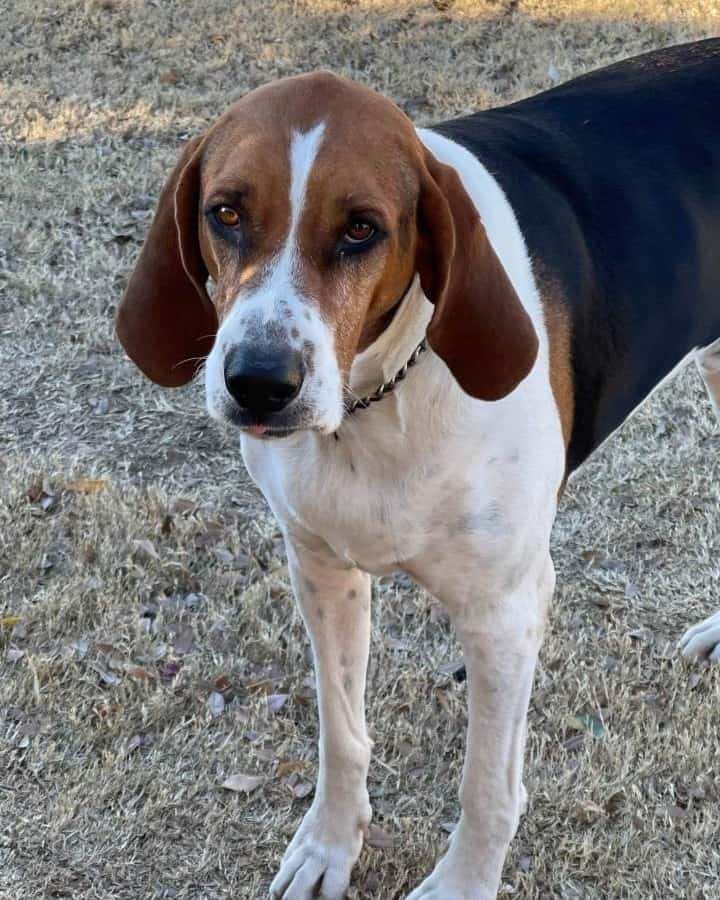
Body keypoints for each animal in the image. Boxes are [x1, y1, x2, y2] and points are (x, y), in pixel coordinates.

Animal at [115, 37, 716, 900]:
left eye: (362, 229)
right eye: (224, 212)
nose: (259, 382)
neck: (375, 404)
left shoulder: (504, 612)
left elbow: (486, 785)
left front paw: (461, 883)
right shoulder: (320, 570)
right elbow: (340, 734)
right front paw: (329, 848)